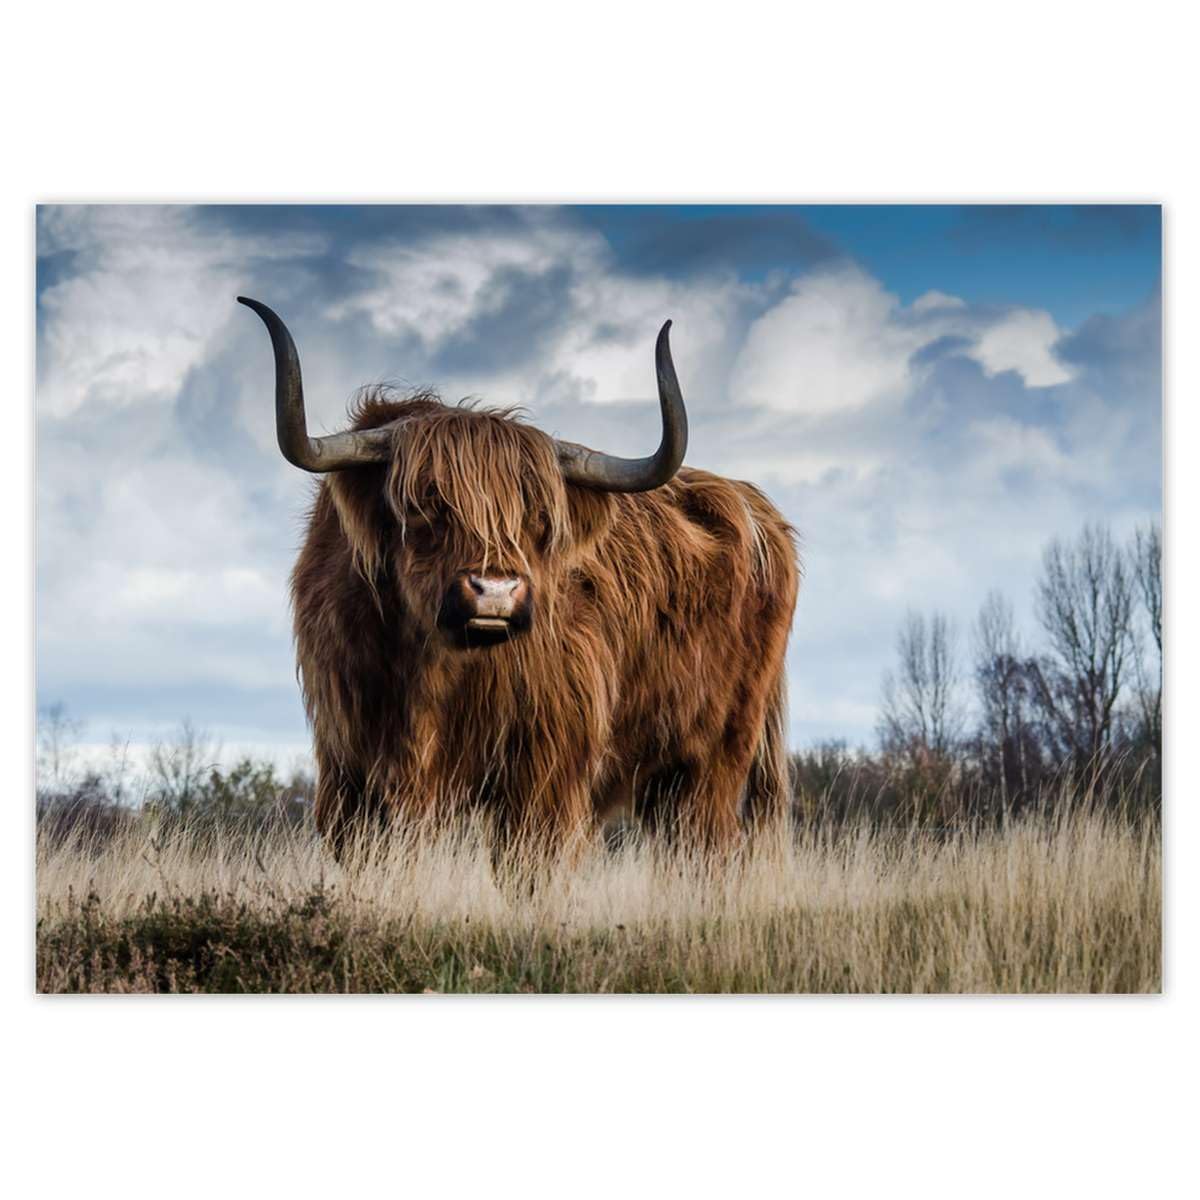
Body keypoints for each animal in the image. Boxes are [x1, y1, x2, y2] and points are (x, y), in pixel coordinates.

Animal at [239, 297, 799, 856]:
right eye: (424, 505)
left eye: (540, 518)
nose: (496, 592)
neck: (429, 673)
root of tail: (755, 506)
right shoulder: (349, 770)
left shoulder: (546, 771)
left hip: (713, 760)